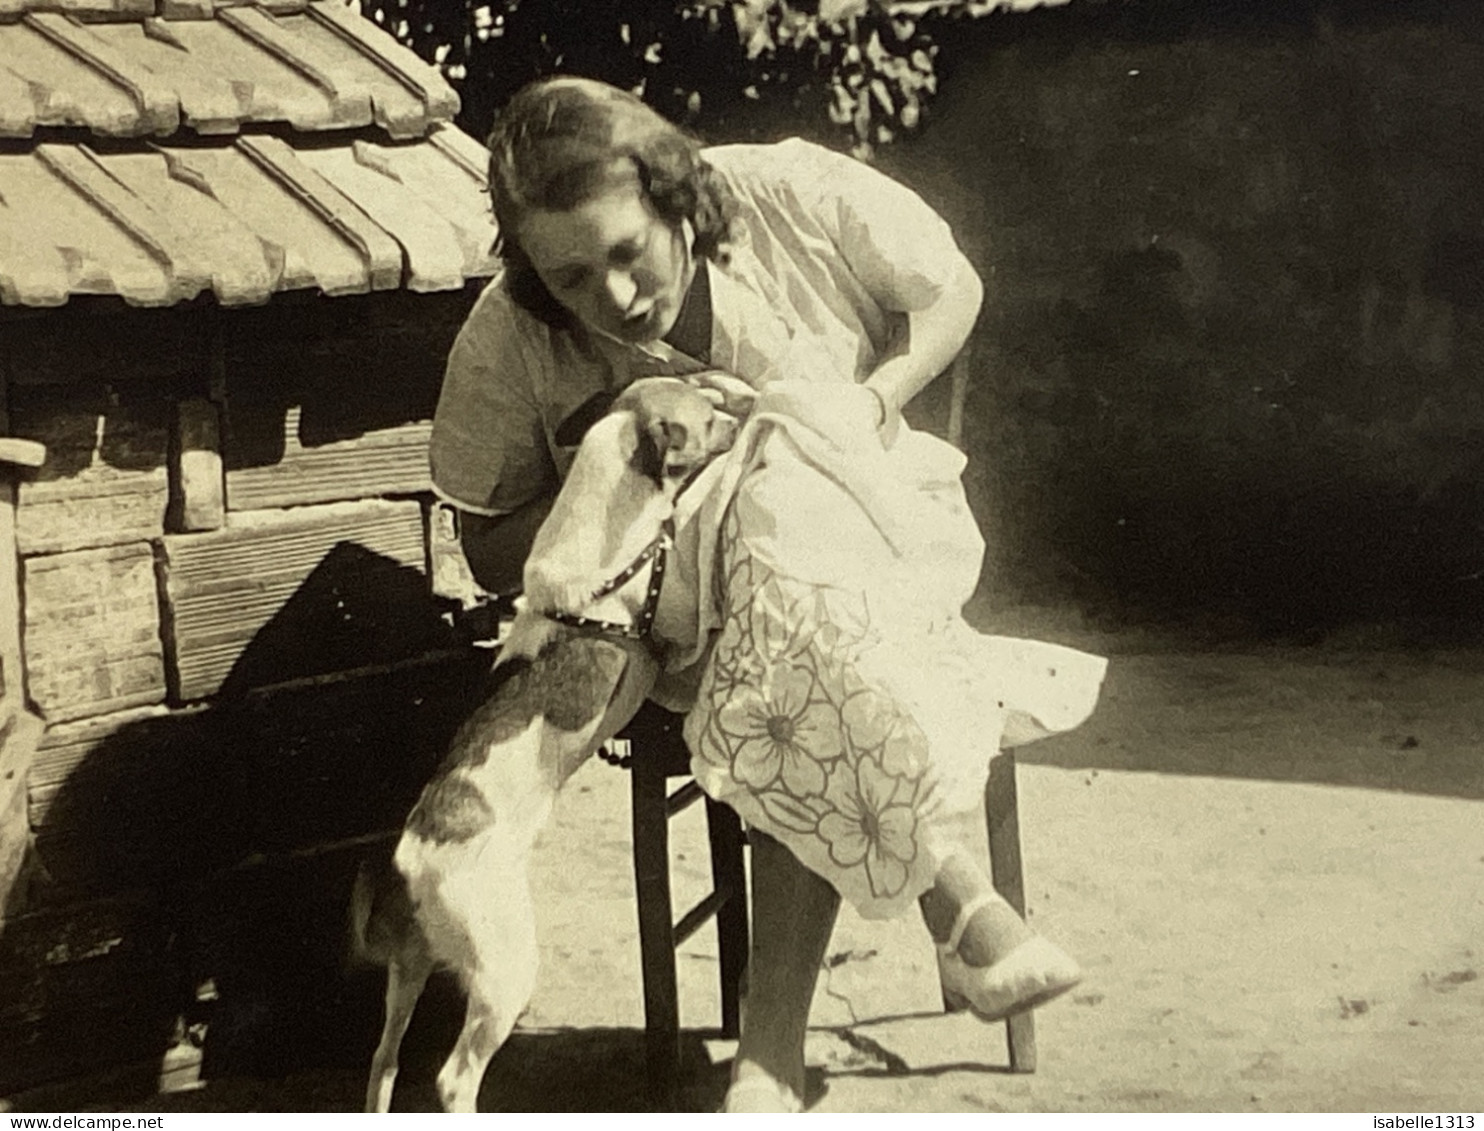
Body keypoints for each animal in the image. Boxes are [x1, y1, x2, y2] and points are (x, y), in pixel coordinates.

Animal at [348, 377, 742, 1110]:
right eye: (707, 419)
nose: (740, 412)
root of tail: (410, 858)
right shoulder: (665, 636)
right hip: (504, 971)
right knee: (452, 1077)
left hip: (410, 972)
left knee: (383, 1059)